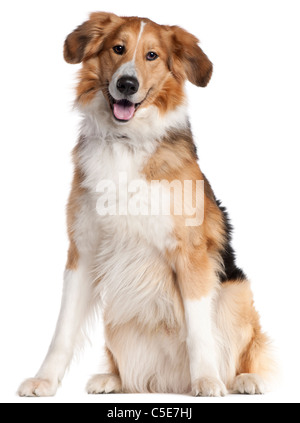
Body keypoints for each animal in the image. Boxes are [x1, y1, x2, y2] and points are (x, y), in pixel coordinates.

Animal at [18, 12, 276, 398]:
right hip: (117, 321)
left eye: (152, 55)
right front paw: (44, 380)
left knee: (245, 350)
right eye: (118, 48)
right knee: (128, 370)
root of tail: (172, 380)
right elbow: (63, 330)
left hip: (235, 293)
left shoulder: (191, 253)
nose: (126, 84)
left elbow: (199, 331)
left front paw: (207, 380)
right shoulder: (83, 249)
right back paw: (111, 379)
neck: (126, 141)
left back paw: (244, 379)